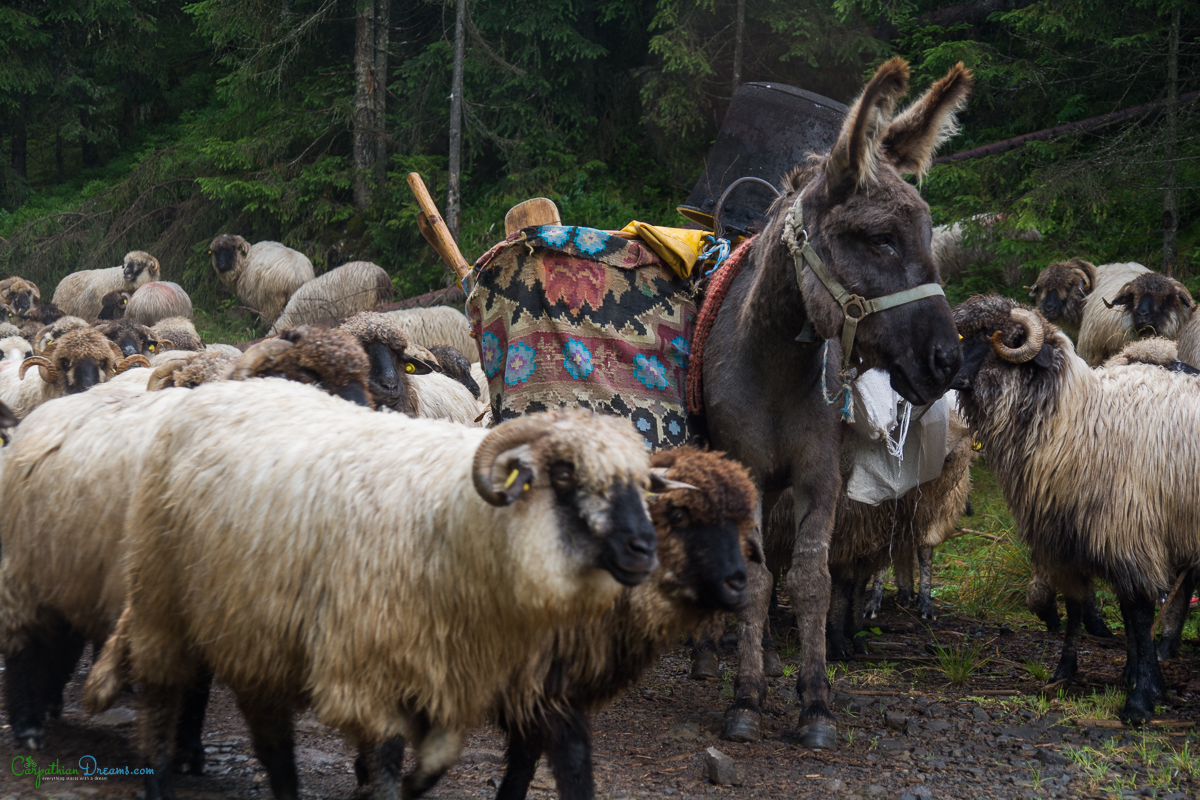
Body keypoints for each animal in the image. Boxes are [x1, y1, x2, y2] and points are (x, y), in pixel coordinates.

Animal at [82, 395, 667, 800]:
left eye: (642, 483)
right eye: (565, 473)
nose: (645, 549)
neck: (455, 522)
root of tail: (207, 392)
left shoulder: (449, 678)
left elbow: (435, 762)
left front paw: (409, 786)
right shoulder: (362, 668)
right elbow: (385, 757)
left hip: (253, 630)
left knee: (271, 742)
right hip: (161, 599)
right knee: (163, 700)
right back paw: (158, 779)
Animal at [691, 57, 969, 753]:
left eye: (927, 235)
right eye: (879, 239)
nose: (948, 363)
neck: (775, 366)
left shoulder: (820, 477)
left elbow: (811, 581)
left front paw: (814, 702)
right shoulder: (746, 474)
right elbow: (758, 580)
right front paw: (746, 698)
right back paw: (712, 653)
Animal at [945, 296, 1200, 724]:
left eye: (1001, 339)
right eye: (962, 336)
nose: (956, 379)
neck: (1078, 422)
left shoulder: (1129, 532)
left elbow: (1137, 611)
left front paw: (1142, 698)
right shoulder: (1067, 538)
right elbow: (1080, 605)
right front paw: (1067, 672)